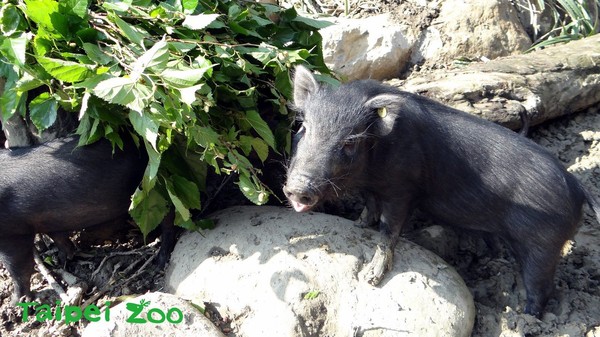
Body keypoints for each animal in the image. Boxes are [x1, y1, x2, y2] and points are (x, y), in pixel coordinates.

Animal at [282, 65, 600, 316]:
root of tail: (580, 189)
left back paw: (527, 316)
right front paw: (358, 224)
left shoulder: (403, 188)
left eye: (349, 143)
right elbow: (370, 207)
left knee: (542, 286)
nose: (298, 189)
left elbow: (389, 230)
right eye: (304, 128)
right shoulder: (373, 187)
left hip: (543, 244)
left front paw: (371, 278)